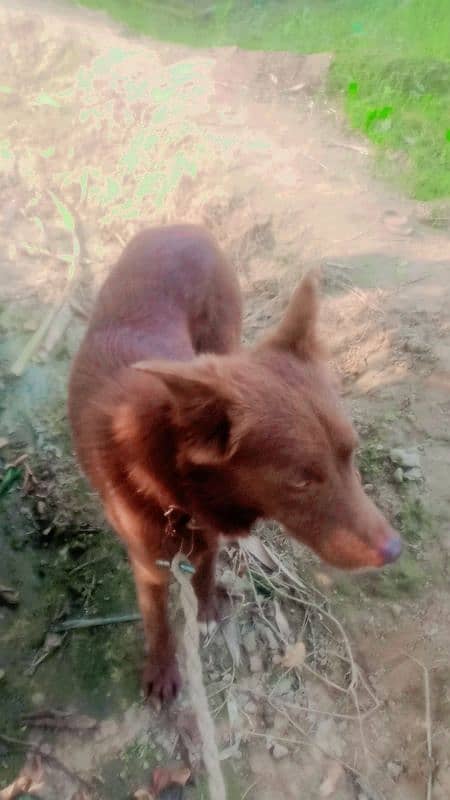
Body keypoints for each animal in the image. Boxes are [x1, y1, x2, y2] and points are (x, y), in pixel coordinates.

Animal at [69, 225, 400, 700]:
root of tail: (182, 227)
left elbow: (205, 569)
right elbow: (158, 623)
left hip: (219, 340)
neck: (172, 482)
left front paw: (206, 609)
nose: (395, 551)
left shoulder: (206, 534)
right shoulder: (150, 565)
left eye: (350, 453)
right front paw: (163, 669)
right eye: (300, 481)